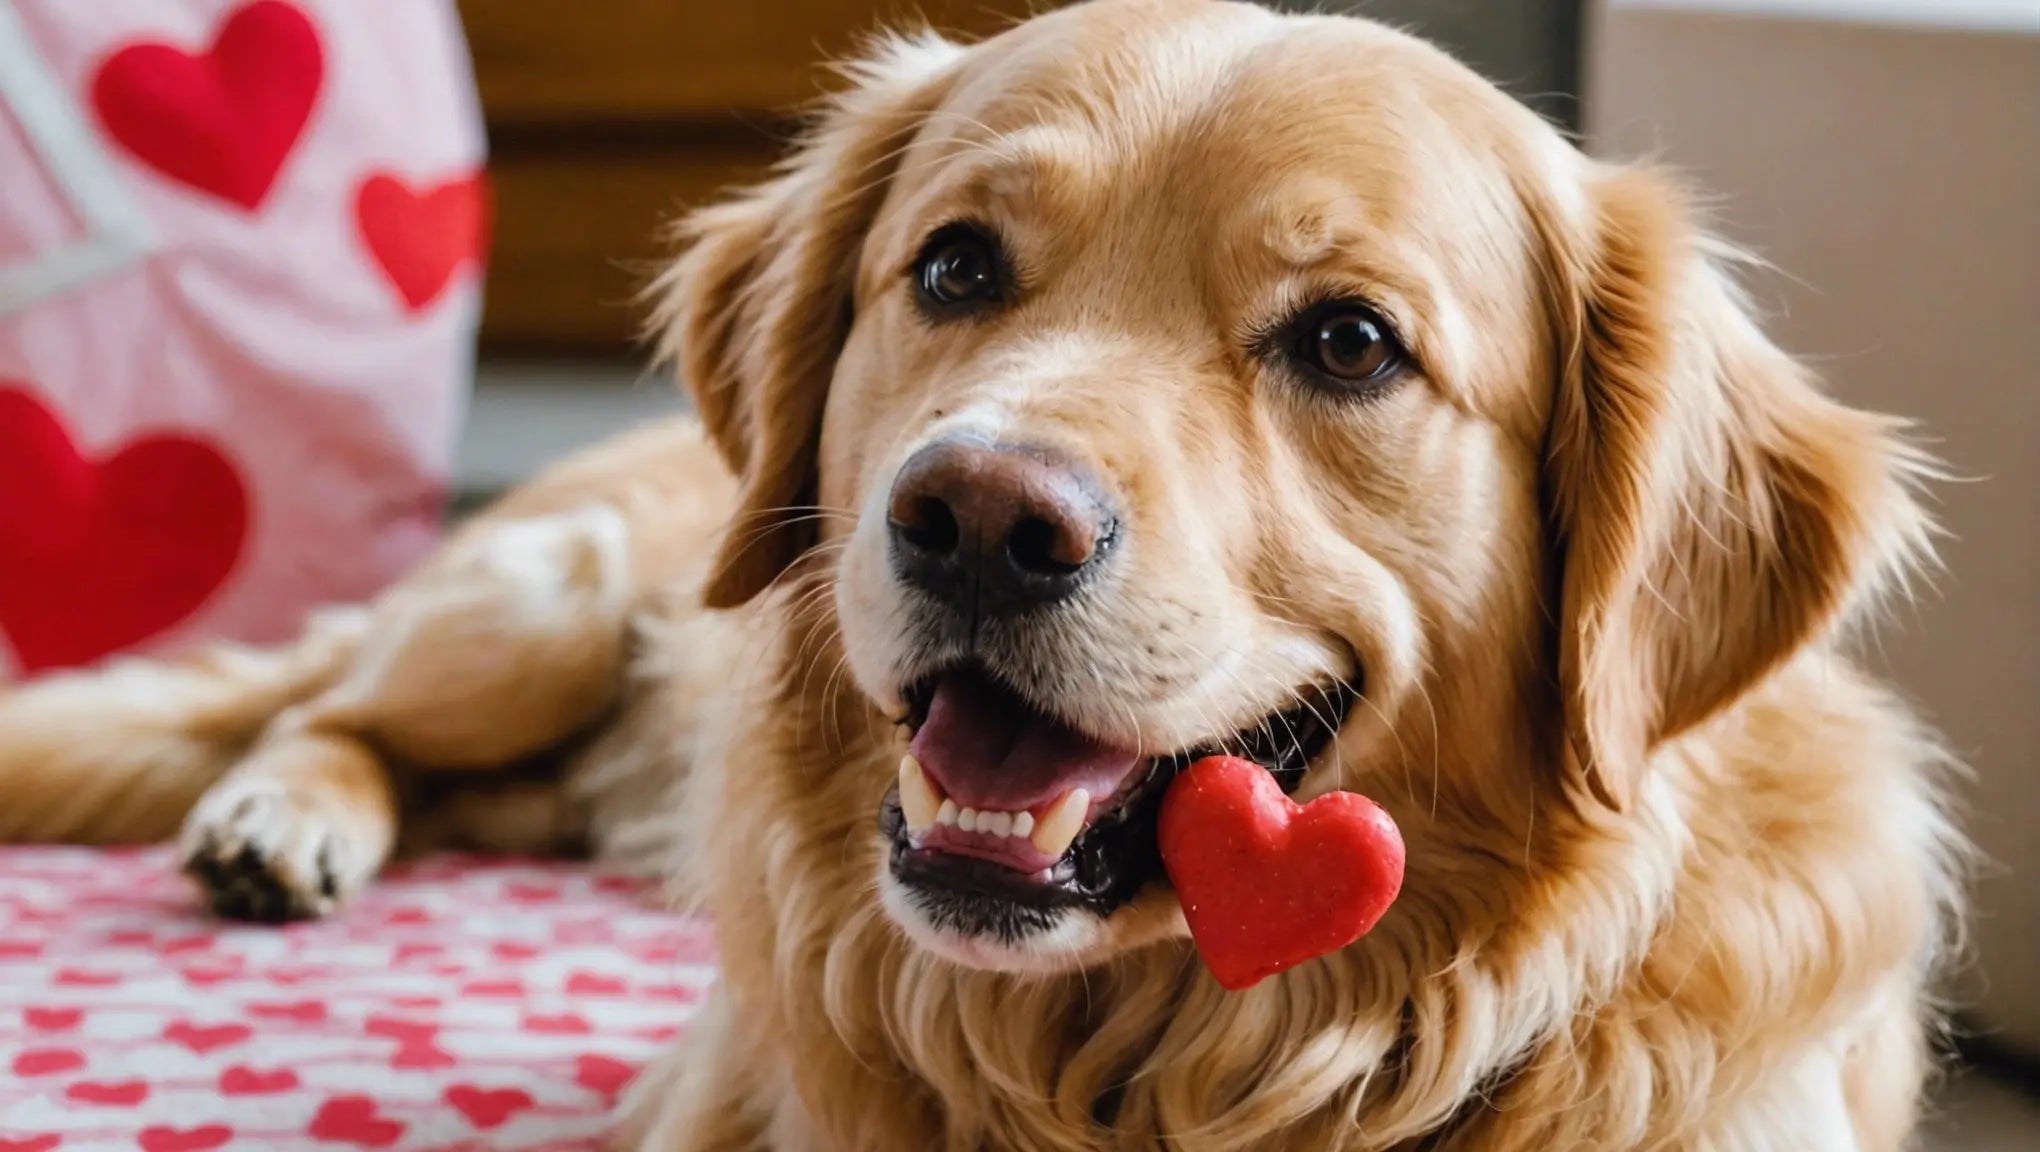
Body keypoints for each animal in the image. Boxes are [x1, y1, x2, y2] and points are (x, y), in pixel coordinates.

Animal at [0, 4, 1958, 1141]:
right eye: (953, 268)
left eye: (1347, 341)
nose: (979, 518)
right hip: (534, 606)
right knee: (330, 709)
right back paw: (278, 823)